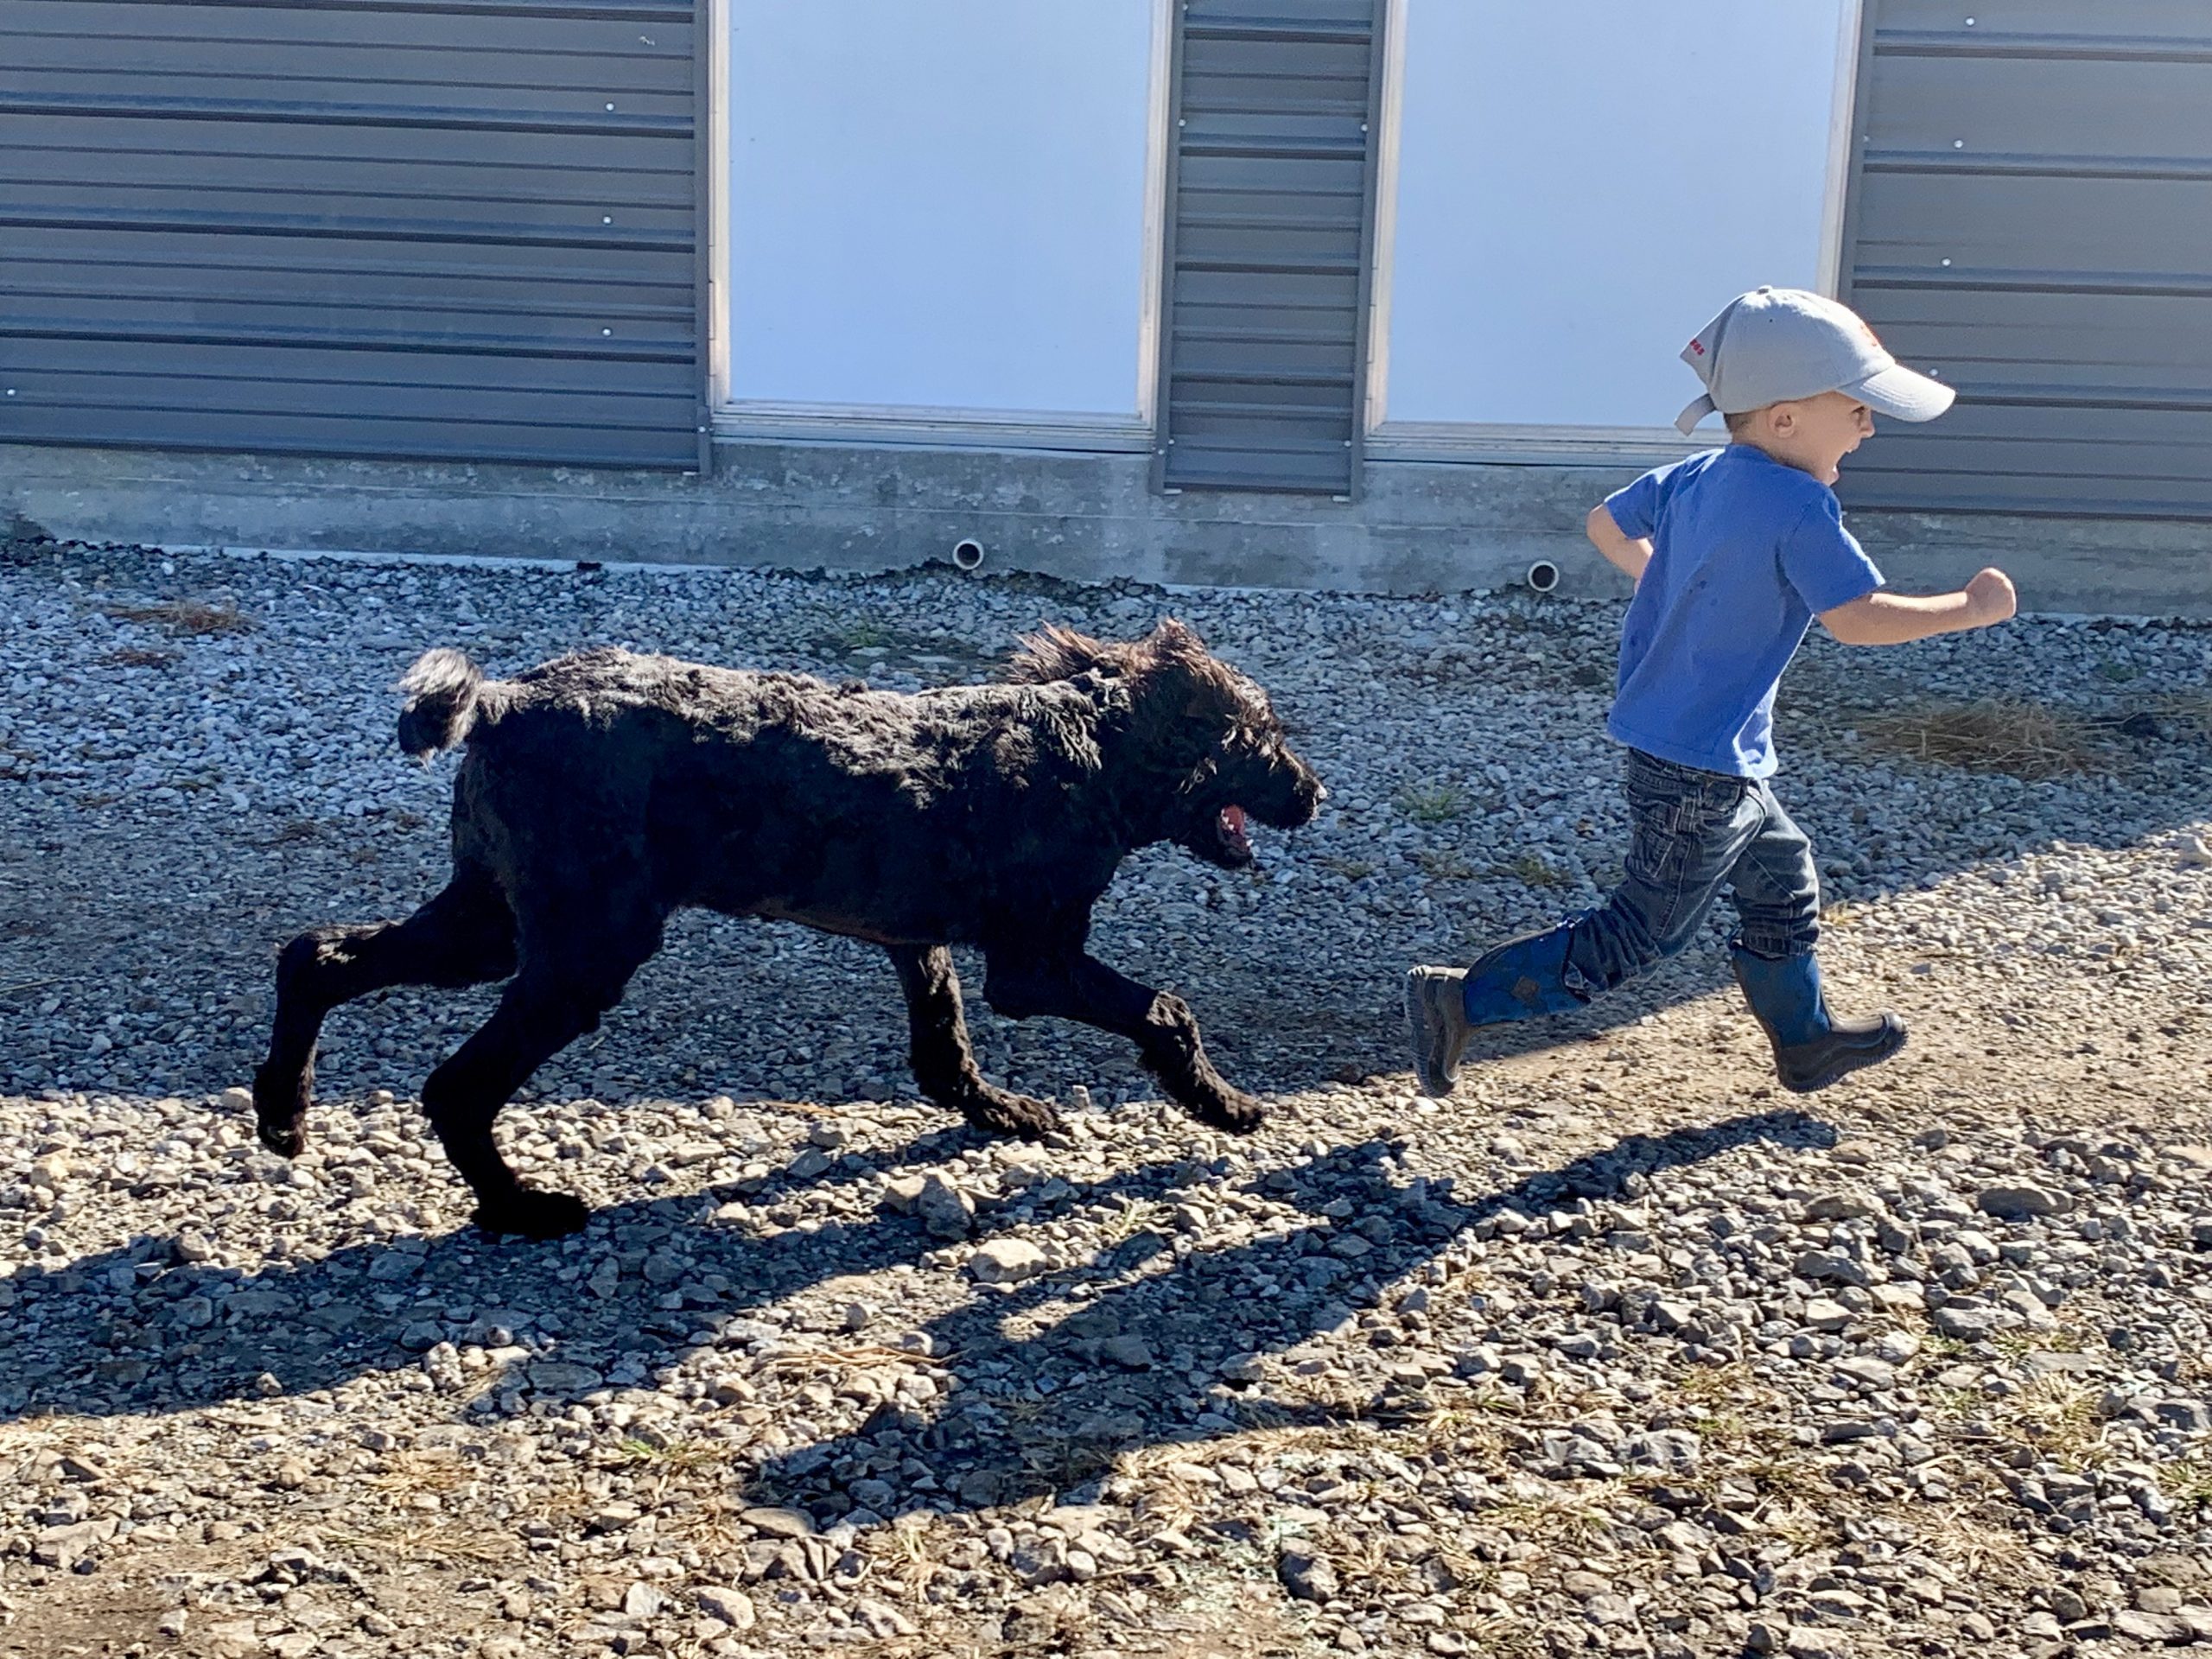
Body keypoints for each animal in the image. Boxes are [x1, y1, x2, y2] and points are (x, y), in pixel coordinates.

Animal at [258, 619, 1327, 1238]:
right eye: (1264, 737)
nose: (1316, 795)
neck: (1090, 746)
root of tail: (500, 700)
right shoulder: (1036, 960)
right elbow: (1166, 1011)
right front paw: (1221, 1105)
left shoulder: (915, 935)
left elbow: (943, 1047)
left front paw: (999, 1113)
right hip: (582, 946)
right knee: (454, 1084)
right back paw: (519, 1208)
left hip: (494, 924)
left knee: (315, 954)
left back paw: (283, 1112)